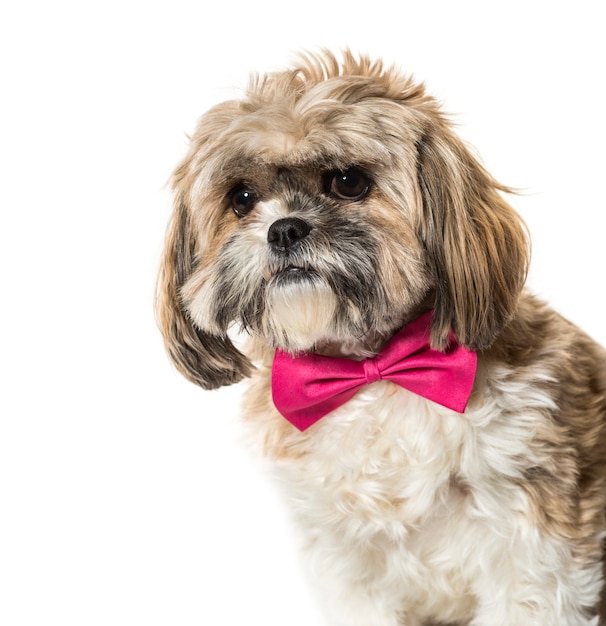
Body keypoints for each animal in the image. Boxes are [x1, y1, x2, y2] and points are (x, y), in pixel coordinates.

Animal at [156, 51, 606, 620]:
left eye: (349, 181)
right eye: (242, 198)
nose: (283, 228)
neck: (373, 373)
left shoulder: (533, 548)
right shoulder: (347, 562)